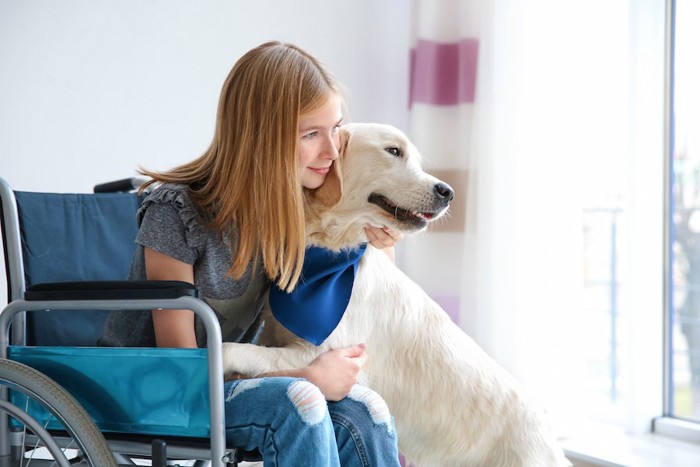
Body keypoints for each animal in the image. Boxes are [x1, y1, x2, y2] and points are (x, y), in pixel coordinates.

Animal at [221, 122, 572, 466]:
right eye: (393, 151)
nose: (448, 192)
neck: (327, 252)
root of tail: (552, 442)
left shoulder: (331, 354)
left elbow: (241, 350)